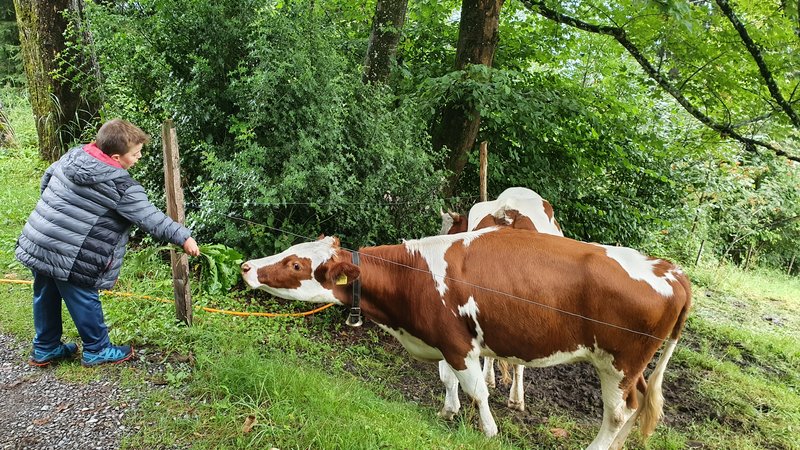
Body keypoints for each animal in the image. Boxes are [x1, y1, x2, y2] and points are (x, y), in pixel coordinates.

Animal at [241, 229, 692, 450]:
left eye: (296, 264)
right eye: (291, 250)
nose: (246, 266)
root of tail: (671, 270)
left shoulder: (460, 345)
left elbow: (478, 390)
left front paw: (488, 431)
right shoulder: (446, 337)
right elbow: (448, 379)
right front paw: (448, 410)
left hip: (619, 361)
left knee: (618, 412)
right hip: (631, 366)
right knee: (636, 405)